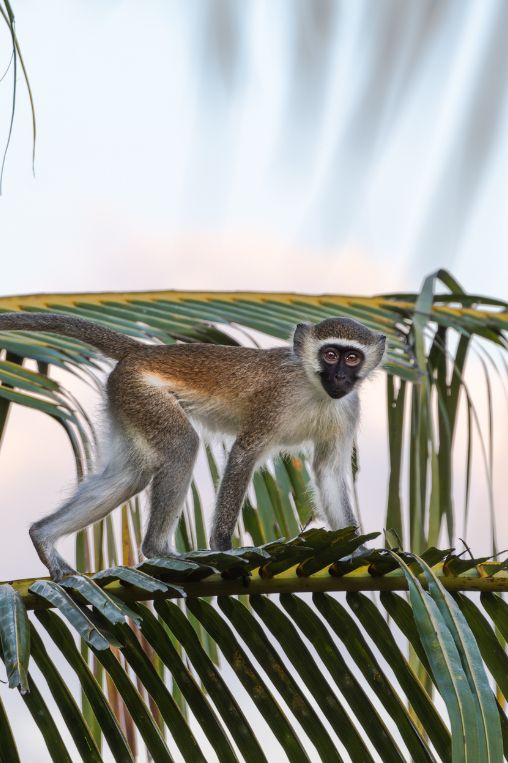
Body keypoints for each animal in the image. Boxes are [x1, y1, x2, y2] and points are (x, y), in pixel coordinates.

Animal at [0, 312, 386, 580]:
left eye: (352, 358)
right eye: (330, 354)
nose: (340, 377)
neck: (313, 387)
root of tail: (144, 352)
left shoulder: (347, 411)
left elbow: (329, 473)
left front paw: (359, 551)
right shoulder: (274, 402)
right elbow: (243, 454)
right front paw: (225, 549)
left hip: (126, 400)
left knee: (129, 475)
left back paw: (42, 536)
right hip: (142, 393)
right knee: (181, 446)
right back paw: (158, 550)